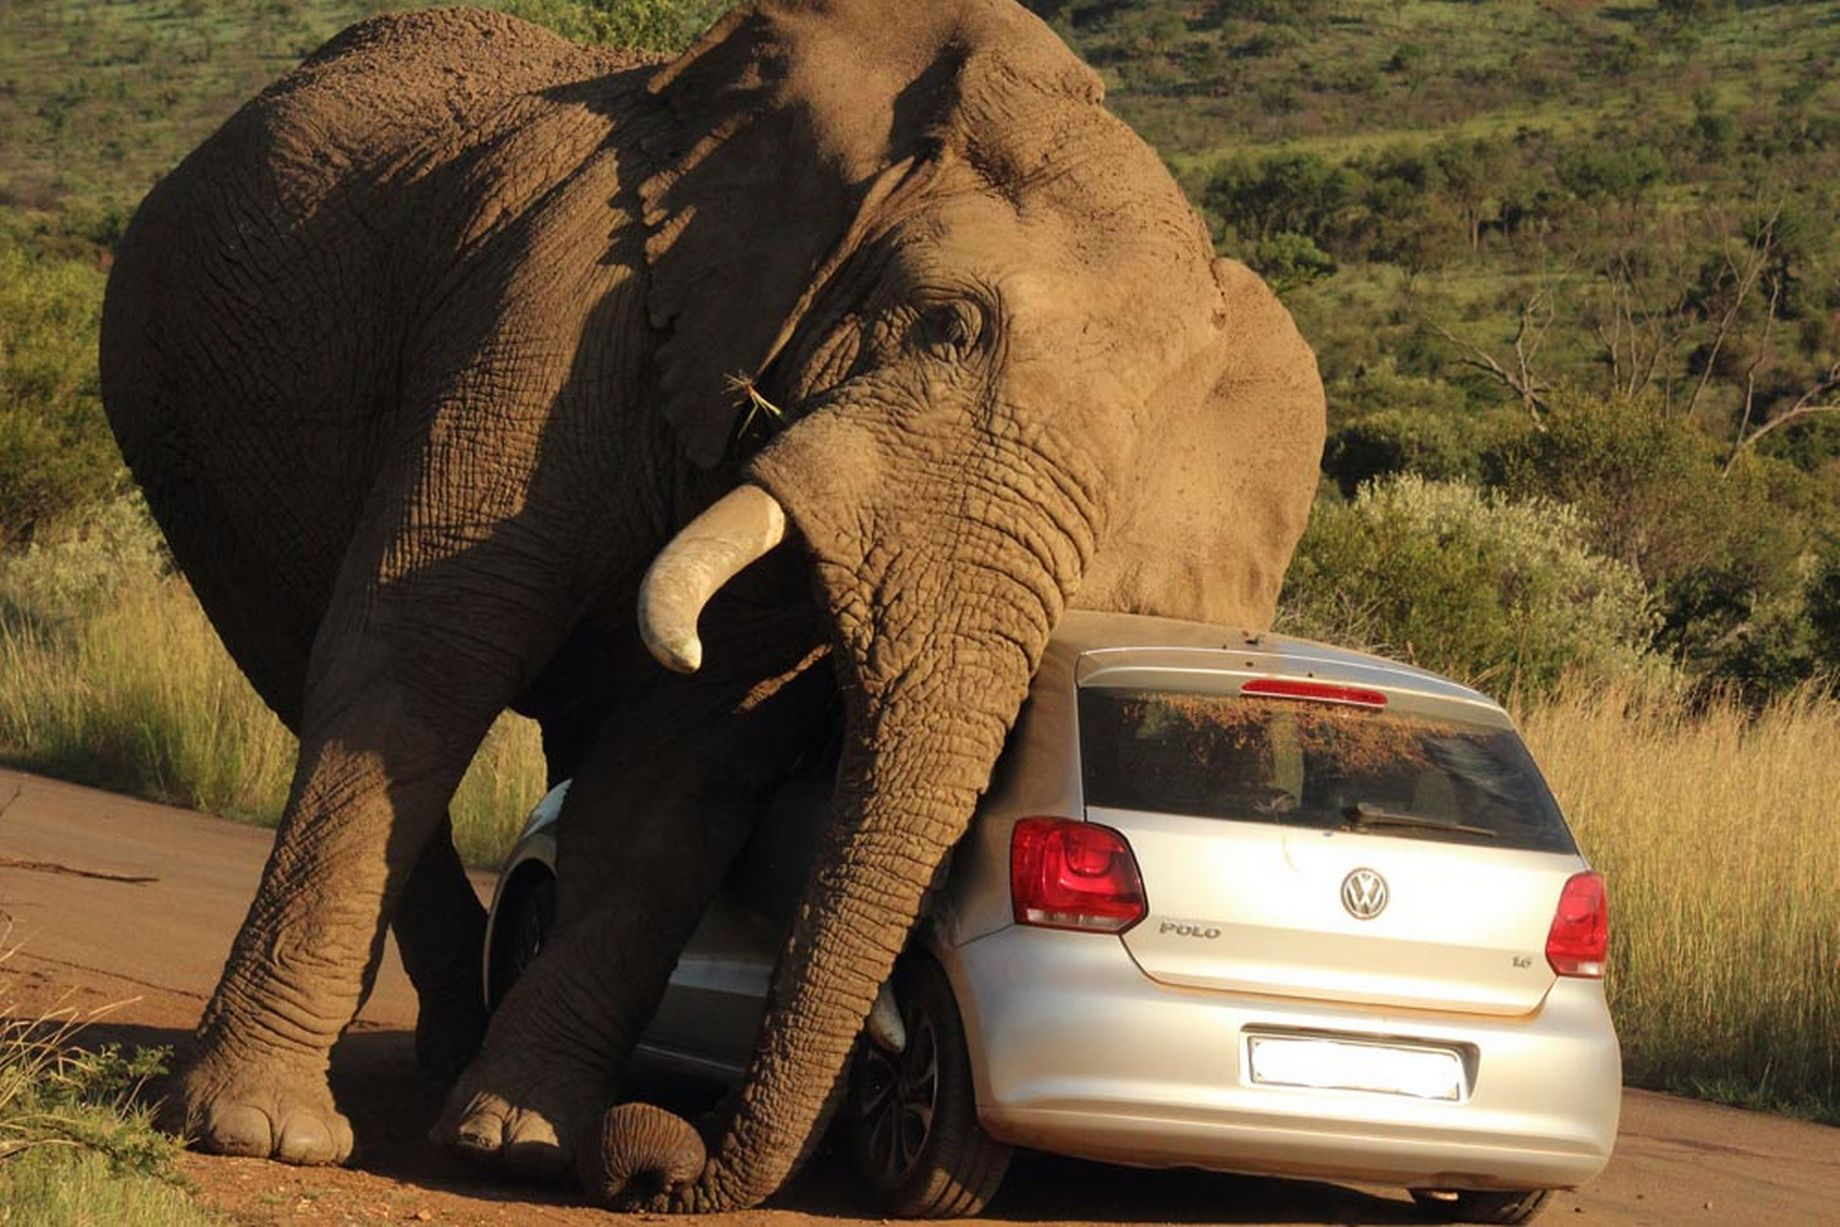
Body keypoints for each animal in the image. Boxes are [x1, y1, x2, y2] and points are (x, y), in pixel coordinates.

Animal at [100, 0, 1324, 1206]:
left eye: (1138, 460)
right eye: (947, 327)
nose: (661, 1169)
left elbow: (680, 764)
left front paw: (524, 1141)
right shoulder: (558, 314)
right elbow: (427, 648)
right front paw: (259, 1133)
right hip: (182, 417)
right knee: (305, 667)